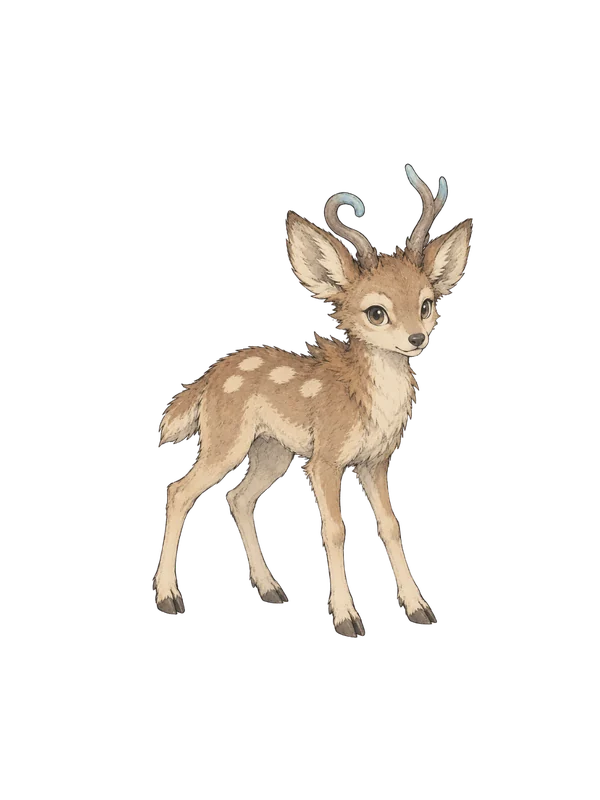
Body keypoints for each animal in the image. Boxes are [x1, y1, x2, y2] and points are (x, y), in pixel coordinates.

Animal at [154, 162, 472, 637]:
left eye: (427, 304)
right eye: (376, 312)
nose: (417, 339)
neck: (364, 402)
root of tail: (210, 378)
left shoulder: (374, 460)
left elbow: (390, 525)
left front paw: (419, 610)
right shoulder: (326, 458)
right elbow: (334, 530)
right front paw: (346, 618)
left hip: (273, 452)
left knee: (239, 497)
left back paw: (271, 589)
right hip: (227, 442)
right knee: (179, 491)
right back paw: (169, 597)